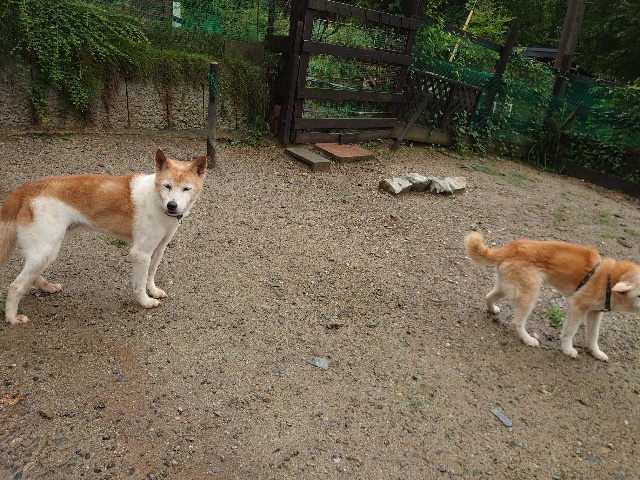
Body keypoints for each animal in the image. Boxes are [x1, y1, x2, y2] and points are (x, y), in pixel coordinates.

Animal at [0, 149, 207, 326]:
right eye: (167, 186)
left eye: (186, 189)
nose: (172, 205)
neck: (157, 199)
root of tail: (27, 188)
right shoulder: (140, 253)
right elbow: (139, 284)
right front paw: (144, 302)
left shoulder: (158, 249)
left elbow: (150, 274)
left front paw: (153, 292)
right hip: (47, 249)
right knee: (16, 286)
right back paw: (12, 318)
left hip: (44, 251)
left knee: (30, 275)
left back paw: (47, 287)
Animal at [464, 231, 640, 360]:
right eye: (639, 295)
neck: (609, 279)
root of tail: (511, 247)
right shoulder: (577, 306)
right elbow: (570, 331)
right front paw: (568, 349)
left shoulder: (595, 312)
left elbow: (593, 336)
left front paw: (596, 353)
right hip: (530, 295)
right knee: (517, 323)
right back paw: (528, 339)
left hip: (508, 287)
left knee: (488, 296)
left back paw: (492, 309)